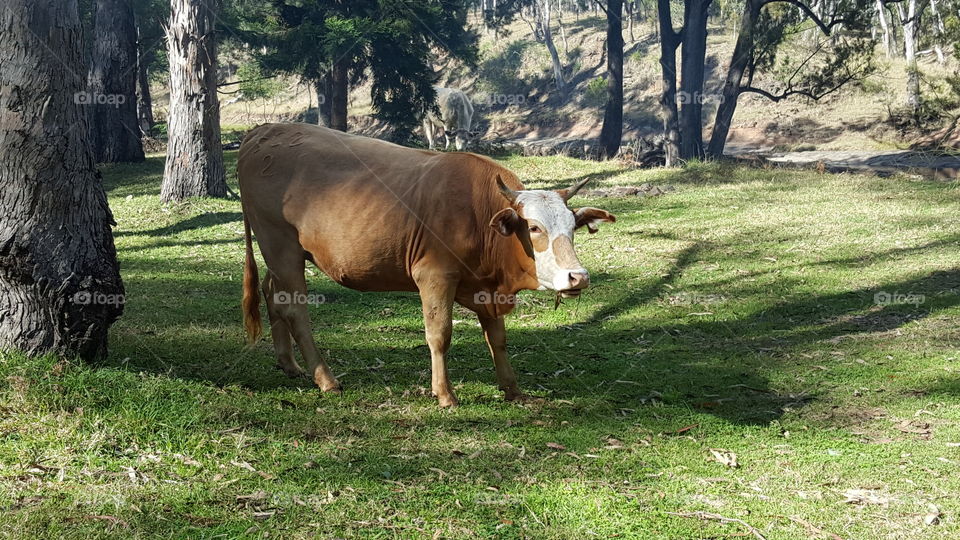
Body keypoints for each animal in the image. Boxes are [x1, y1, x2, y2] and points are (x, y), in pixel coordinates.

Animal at [239, 123, 615, 407]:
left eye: (572, 227)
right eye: (534, 228)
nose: (578, 277)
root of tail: (263, 131)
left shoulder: (487, 290)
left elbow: (498, 338)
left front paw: (512, 389)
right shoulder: (435, 275)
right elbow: (439, 334)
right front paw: (445, 394)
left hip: (282, 256)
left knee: (273, 293)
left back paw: (289, 364)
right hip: (280, 247)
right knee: (295, 309)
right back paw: (326, 379)